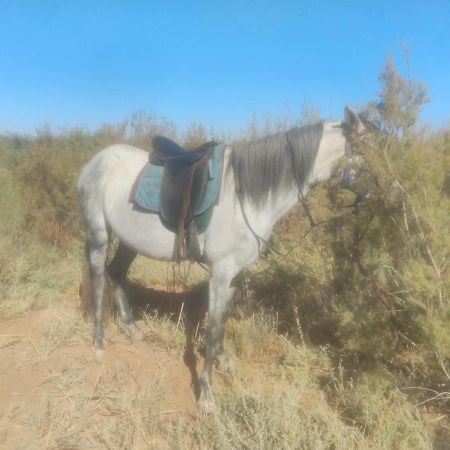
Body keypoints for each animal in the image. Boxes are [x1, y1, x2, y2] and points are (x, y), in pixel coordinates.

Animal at [77, 104, 366, 408]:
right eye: (367, 149)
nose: (377, 191)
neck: (244, 198)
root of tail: (96, 161)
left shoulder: (234, 274)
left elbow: (223, 320)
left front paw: (223, 361)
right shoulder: (220, 272)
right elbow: (213, 328)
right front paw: (206, 393)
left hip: (129, 240)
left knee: (116, 273)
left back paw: (132, 329)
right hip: (99, 233)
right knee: (98, 279)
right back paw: (98, 345)